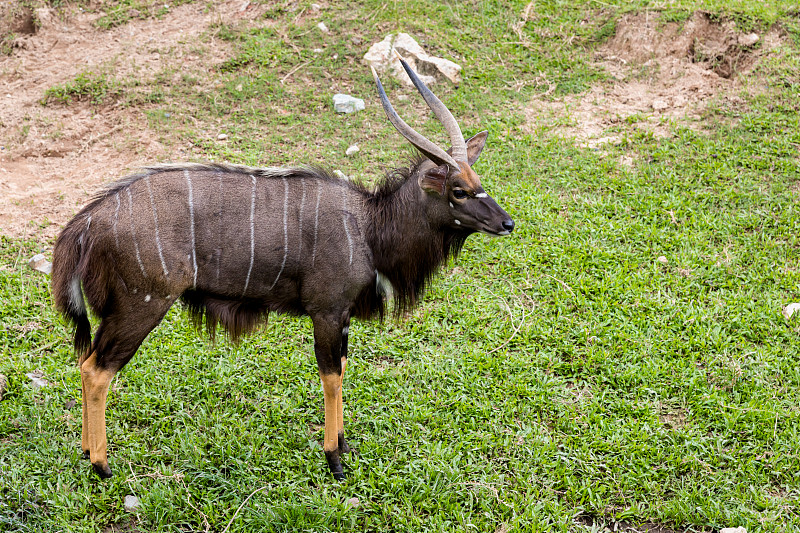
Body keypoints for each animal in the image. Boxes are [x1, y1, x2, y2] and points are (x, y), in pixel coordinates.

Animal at [51, 57, 512, 478]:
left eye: (479, 181)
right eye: (459, 191)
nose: (507, 223)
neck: (369, 227)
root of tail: (86, 222)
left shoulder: (343, 315)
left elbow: (343, 367)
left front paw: (345, 444)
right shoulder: (326, 311)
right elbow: (330, 375)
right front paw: (334, 459)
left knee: (86, 361)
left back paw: (86, 451)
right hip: (142, 304)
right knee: (97, 369)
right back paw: (101, 465)